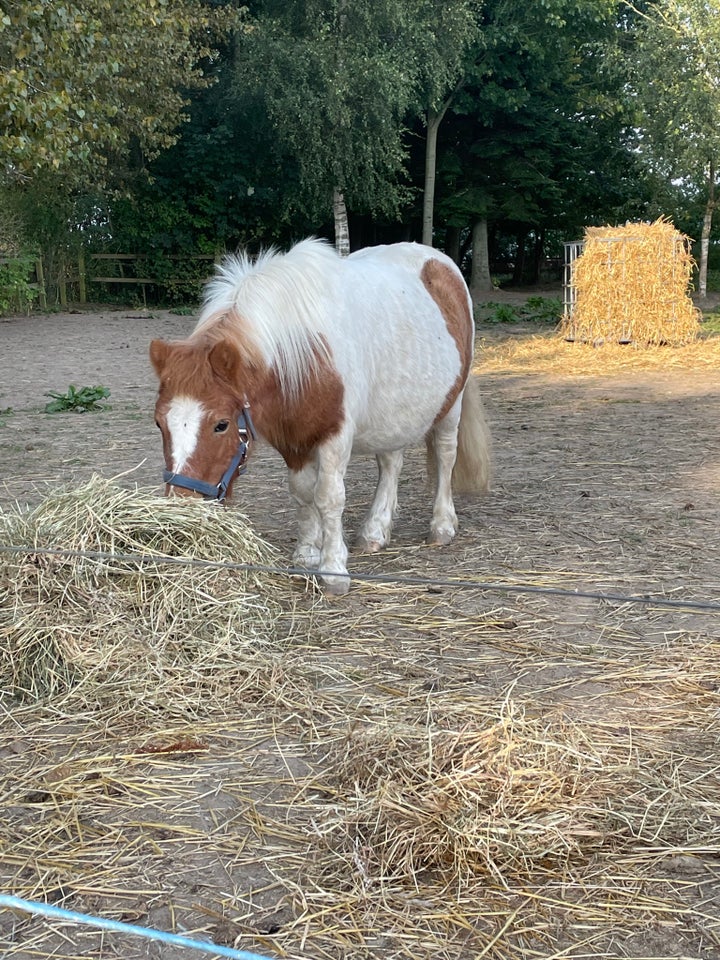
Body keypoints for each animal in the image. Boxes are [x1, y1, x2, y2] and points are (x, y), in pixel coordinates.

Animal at [149, 238, 492, 592]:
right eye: (159, 423)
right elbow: (302, 494)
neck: (307, 353)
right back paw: (375, 531)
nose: (182, 509)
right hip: (393, 416)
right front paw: (306, 554)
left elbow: (328, 497)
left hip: (451, 406)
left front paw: (333, 569)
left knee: (446, 455)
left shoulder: (335, 436)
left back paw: (442, 526)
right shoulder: (295, 439)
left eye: (221, 424)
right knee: (390, 465)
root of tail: (439, 261)